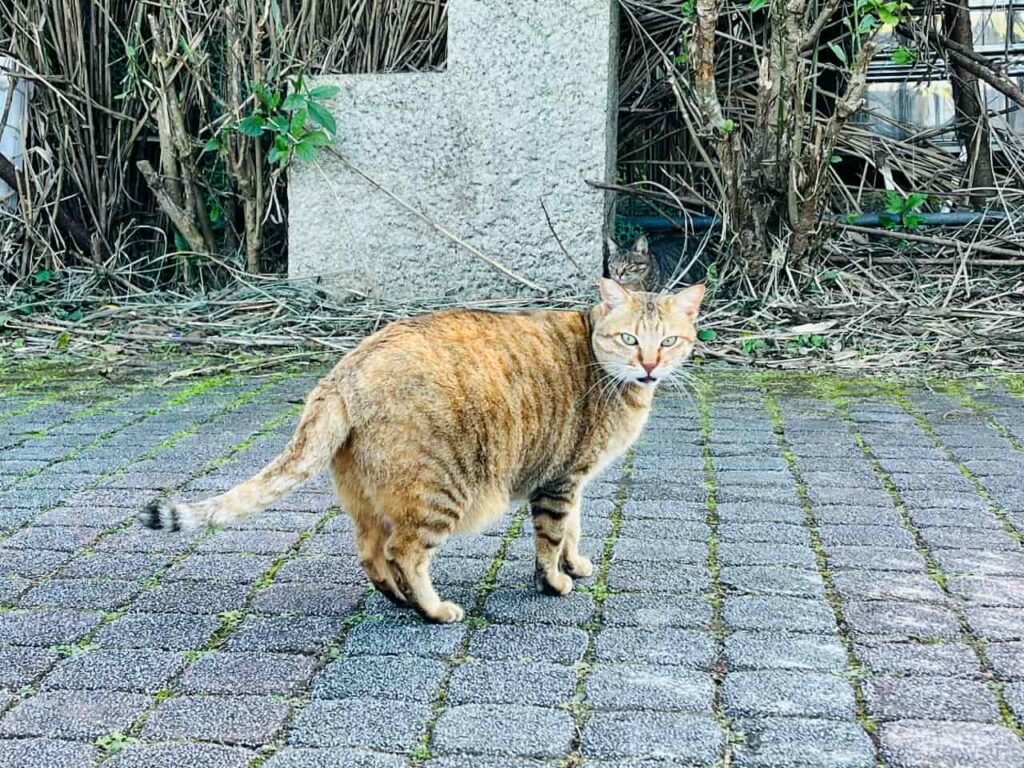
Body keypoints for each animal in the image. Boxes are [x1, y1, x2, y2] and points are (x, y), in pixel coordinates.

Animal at [138, 282, 704, 626]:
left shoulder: (573, 480)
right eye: (629, 339)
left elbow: (573, 531)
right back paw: (432, 609)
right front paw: (555, 581)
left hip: (369, 500)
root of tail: (343, 371)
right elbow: (550, 539)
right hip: (441, 494)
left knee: (371, 552)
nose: (650, 366)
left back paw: (397, 597)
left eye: (669, 341)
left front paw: (577, 563)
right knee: (404, 551)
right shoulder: (560, 481)